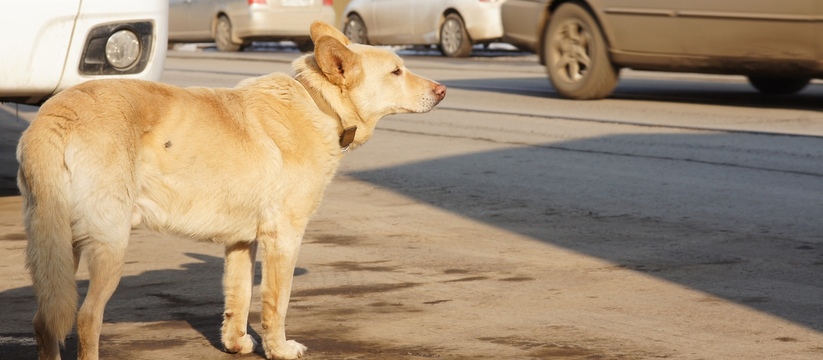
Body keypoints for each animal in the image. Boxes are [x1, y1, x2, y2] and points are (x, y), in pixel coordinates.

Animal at [17, 21, 444, 360]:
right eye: (397, 71)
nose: (442, 90)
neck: (318, 103)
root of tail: (54, 116)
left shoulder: (240, 242)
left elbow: (238, 297)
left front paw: (236, 344)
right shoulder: (284, 237)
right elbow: (276, 303)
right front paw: (279, 349)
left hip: (61, 247)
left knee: (44, 320)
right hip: (109, 245)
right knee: (86, 318)